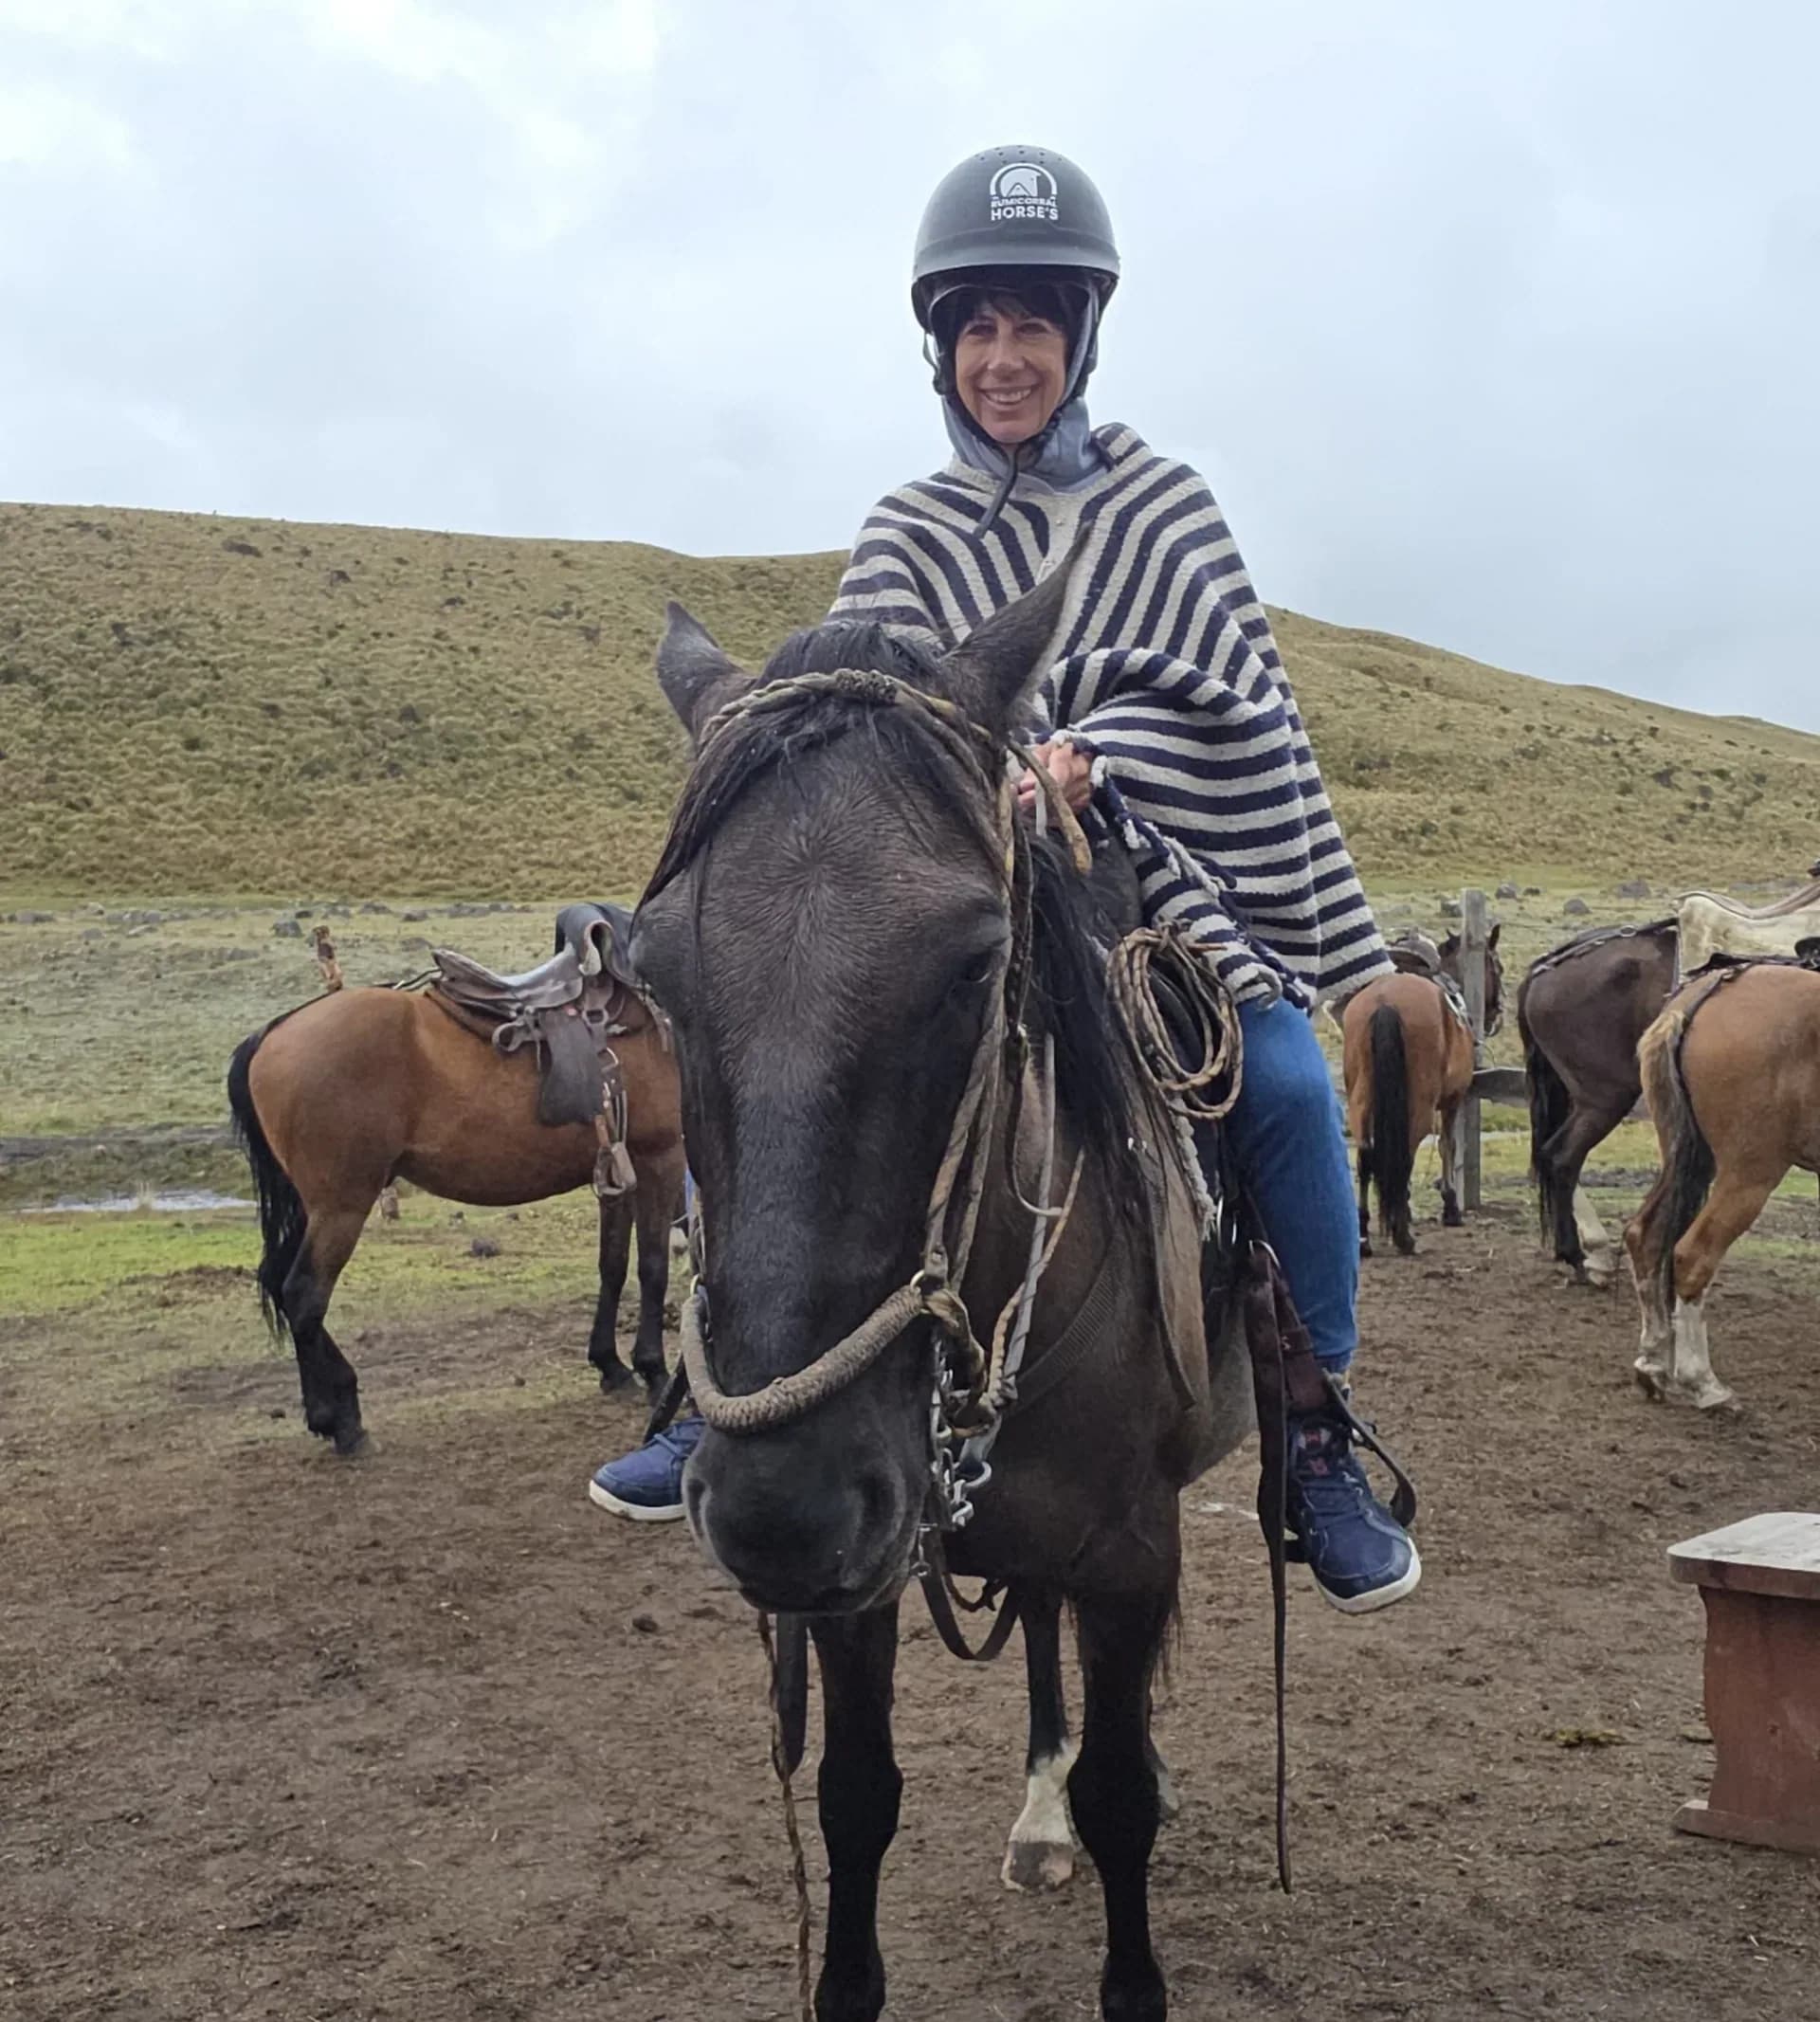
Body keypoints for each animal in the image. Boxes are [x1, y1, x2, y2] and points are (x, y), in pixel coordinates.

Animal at [226, 978, 684, 1454]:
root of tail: (275, 1032)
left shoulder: (618, 1174)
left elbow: (613, 1266)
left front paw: (611, 1366)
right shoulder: (660, 1159)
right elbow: (653, 1268)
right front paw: (655, 1371)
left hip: (310, 1208)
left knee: (280, 1283)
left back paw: (325, 1414)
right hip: (340, 1207)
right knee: (304, 1294)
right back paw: (345, 1423)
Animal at [632, 561, 1252, 2022]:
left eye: (976, 964)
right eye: (650, 976)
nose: (779, 1511)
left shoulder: (1133, 1553)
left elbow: (1124, 1794)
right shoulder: (860, 1580)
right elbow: (857, 1801)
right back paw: (1037, 1815)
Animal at [1343, 927, 1503, 1255]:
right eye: (1498, 968)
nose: (1497, 1013)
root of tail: (1384, 1001)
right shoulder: (1452, 1101)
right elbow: (1447, 1146)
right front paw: (1450, 1208)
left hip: (1360, 1097)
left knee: (1365, 1157)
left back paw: (1364, 1236)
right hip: (1420, 1103)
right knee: (1405, 1155)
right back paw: (1403, 1236)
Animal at [1624, 958, 1820, 1411]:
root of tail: (1709, 991)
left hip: (1689, 1158)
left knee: (1645, 1237)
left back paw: (1653, 1362)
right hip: (1748, 1175)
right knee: (1693, 1257)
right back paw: (1704, 1383)